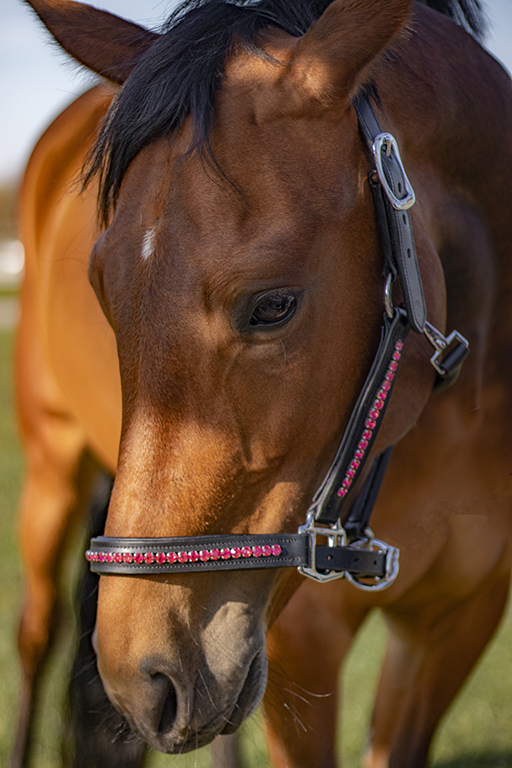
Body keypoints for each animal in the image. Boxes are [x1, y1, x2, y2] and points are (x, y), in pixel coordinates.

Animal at [13, 0, 512, 764]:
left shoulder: (460, 619)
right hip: (50, 473)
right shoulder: (303, 644)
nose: (137, 674)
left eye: (273, 305)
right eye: (102, 290)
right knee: (33, 638)